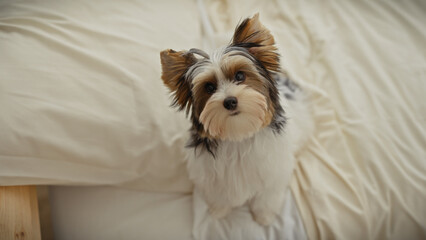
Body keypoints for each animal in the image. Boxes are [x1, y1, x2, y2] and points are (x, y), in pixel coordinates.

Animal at [160, 14, 312, 226]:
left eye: (240, 76)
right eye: (209, 87)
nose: (230, 101)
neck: (238, 134)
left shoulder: (273, 173)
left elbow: (267, 196)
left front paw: (264, 217)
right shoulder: (211, 176)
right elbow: (219, 194)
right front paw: (219, 211)